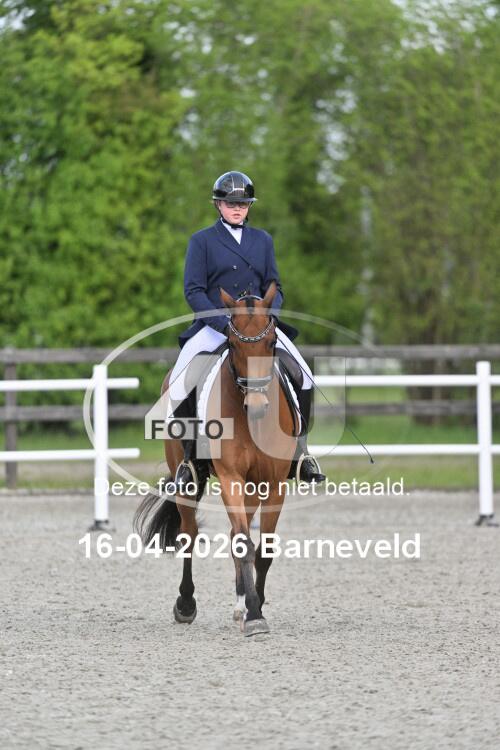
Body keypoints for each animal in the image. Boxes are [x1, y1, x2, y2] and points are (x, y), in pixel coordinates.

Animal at [134, 281, 298, 636]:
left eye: (271, 342)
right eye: (233, 344)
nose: (257, 406)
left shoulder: (274, 482)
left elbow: (262, 548)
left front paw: (254, 606)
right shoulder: (230, 477)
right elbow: (242, 543)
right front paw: (254, 614)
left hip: (253, 488)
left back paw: (240, 603)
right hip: (187, 478)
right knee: (189, 534)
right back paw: (186, 604)